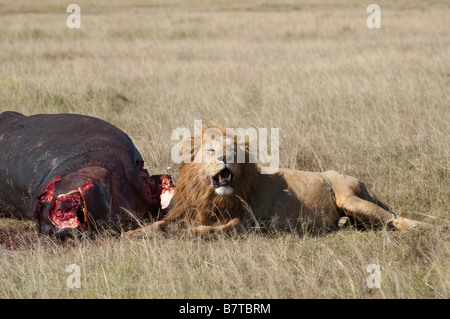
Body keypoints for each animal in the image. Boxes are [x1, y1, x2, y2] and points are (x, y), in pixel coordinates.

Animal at [125, 124, 424, 239]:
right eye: (210, 150)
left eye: (232, 151)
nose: (224, 157)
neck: (210, 194)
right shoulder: (186, 210)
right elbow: (158, 225)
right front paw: (130, 235)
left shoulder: (247, 223)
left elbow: (213, 230)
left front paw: (192, 233)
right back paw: (341, 223)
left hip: (350, 197)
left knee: (392, 217)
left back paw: (418, 226)